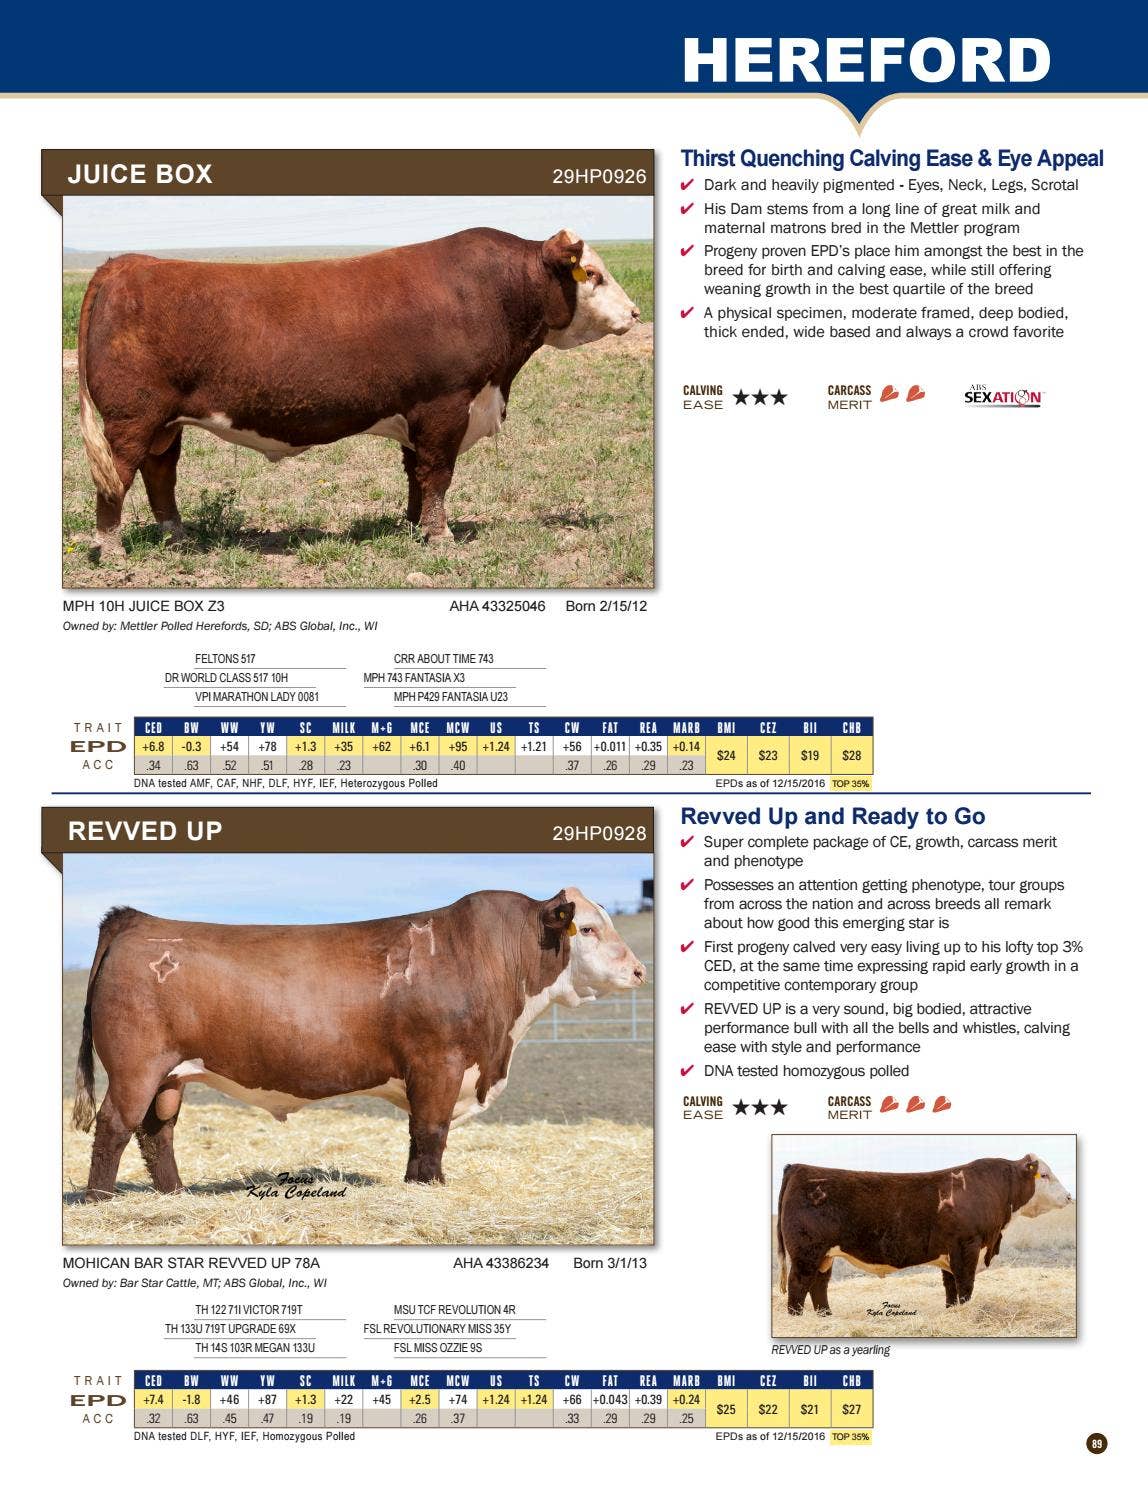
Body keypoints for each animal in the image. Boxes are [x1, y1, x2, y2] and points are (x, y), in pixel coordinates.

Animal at [71, 888, 646, 1200]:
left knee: (156, 1132)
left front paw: (419, 1185)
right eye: (588, 929)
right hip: (135, 1066)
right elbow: (430, 1131)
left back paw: (176, 1194)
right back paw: (100, 1200)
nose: (640, 970)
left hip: (169, 1074)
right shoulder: (438, 1064)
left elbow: (421, 1136)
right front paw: (429, 1187)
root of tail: (137, 920)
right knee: (114, 1125)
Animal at [75, 228, 640, 555]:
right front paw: (441, 536)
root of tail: (126, 263)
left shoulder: (418, 413)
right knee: (117, 475)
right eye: (592, 273)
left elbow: (417, 474)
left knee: (160, 473)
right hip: (131, 418)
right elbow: (439, 473)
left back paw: (176, 534)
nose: (635, 313)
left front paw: (414, 525)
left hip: (164, 422)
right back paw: (112, 549)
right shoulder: (447, 405)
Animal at [777, 1154, 1071, 1314]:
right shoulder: (967, 1246)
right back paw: (798, 1319)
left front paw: (952, 1312)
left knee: (819, 1286)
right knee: (798, 1286)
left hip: (824, 1255)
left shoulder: (950, 1251)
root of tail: (799, 1167)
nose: (1069, 1197)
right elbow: (965, 1285)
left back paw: (827, 1317)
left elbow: (951, 1288)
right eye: (1044, 1175)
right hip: (806, 1253)